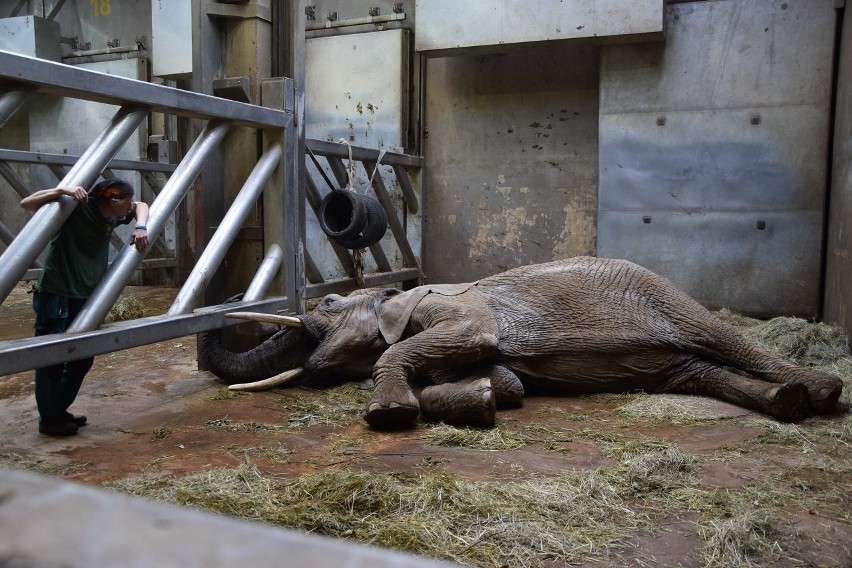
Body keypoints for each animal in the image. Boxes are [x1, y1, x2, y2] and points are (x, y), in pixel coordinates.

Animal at [200, 255, 844, 428]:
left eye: (329, 306)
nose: (226, 300)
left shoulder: (455, 309)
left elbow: (469, 337)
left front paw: (388, 415)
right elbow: (507, 382)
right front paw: (485, 399)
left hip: (668, 299)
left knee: (726, 341)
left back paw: (823, 392)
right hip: (673, 363)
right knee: (700, 372)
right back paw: (784, 404)